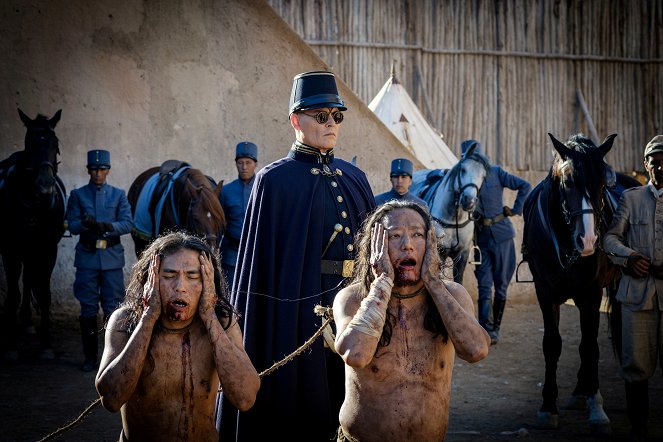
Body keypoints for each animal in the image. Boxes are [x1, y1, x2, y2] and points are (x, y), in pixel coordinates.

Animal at [0, 109, 66, 360]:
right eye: (30, 144)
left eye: (55, 144)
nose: (46, 187)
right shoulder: (10, 251)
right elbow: (12, 294)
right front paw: (10, 346)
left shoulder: (48, 248)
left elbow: (44, 293)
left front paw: (46, 345)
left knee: (29, 279)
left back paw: (28, 322)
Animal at [412, 143, 490, 284]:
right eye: (463, 169)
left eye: (483, 176)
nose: (469, 201)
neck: (454, 220)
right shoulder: (440, 252)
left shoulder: (462, 254)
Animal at [520, 132, 640, 436]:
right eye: (567, 182)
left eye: (601, 183)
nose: (587, 241)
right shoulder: (544, 292)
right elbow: (552, 344)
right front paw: (548, 408)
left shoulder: (591, 293)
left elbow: (589, 346)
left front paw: (596, 408)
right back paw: (578, 392)